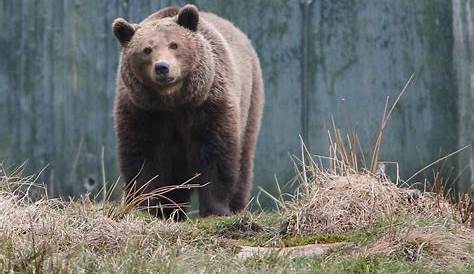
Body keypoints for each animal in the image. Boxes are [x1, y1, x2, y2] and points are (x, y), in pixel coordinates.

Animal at [113, 4, 264, 218]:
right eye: (147, 49)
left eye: (174, 45)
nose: (162, 67)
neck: (173, 102)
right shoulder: (143, 112)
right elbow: (142, 157)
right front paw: (147, 205)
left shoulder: (209, 105)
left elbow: (216, 154)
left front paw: (216, 210)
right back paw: (172, 211)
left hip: (250, 101)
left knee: (243, 161)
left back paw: (237, 207)